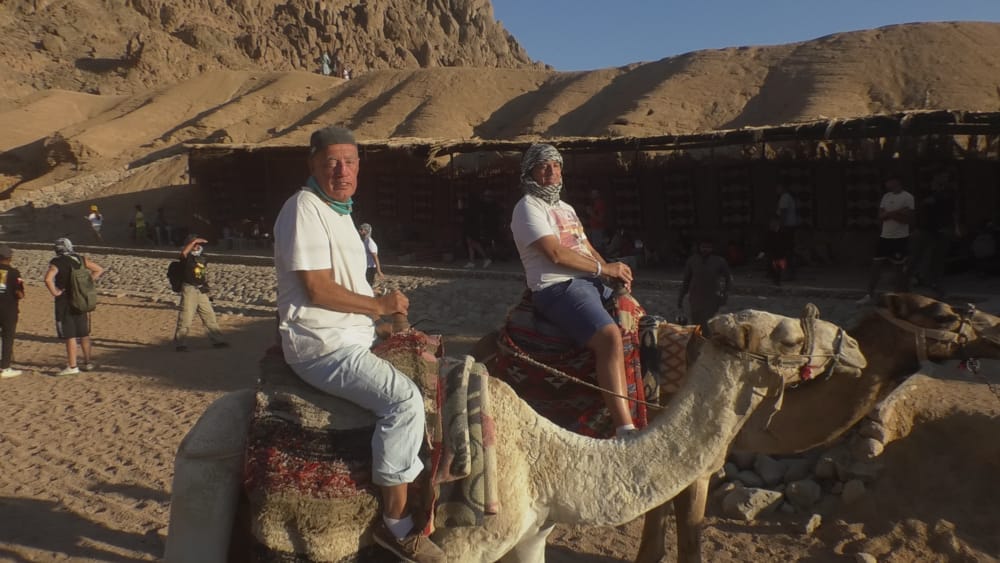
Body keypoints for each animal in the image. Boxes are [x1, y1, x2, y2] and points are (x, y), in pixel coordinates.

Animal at [164, 308, 868, 563]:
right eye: (788, 335)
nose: (855, 345)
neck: (549, 459)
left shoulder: (530, 536)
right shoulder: (461, 549)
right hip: (205, 481)